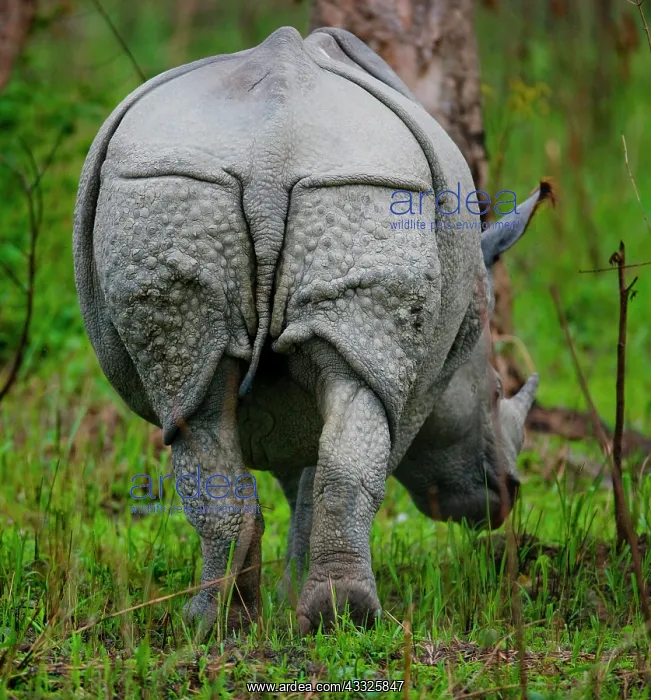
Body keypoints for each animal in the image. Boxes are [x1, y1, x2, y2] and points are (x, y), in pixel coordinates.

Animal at [73, 26, 546, 635]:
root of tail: (271, 150)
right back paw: (339, 618)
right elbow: (310, 472)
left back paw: (222, 623)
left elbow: (295, 469)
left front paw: (285, 600)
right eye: (495, 392)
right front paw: (290, 597)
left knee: (190, 400)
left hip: (179, 188)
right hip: (359, 185)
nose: (506, 495)